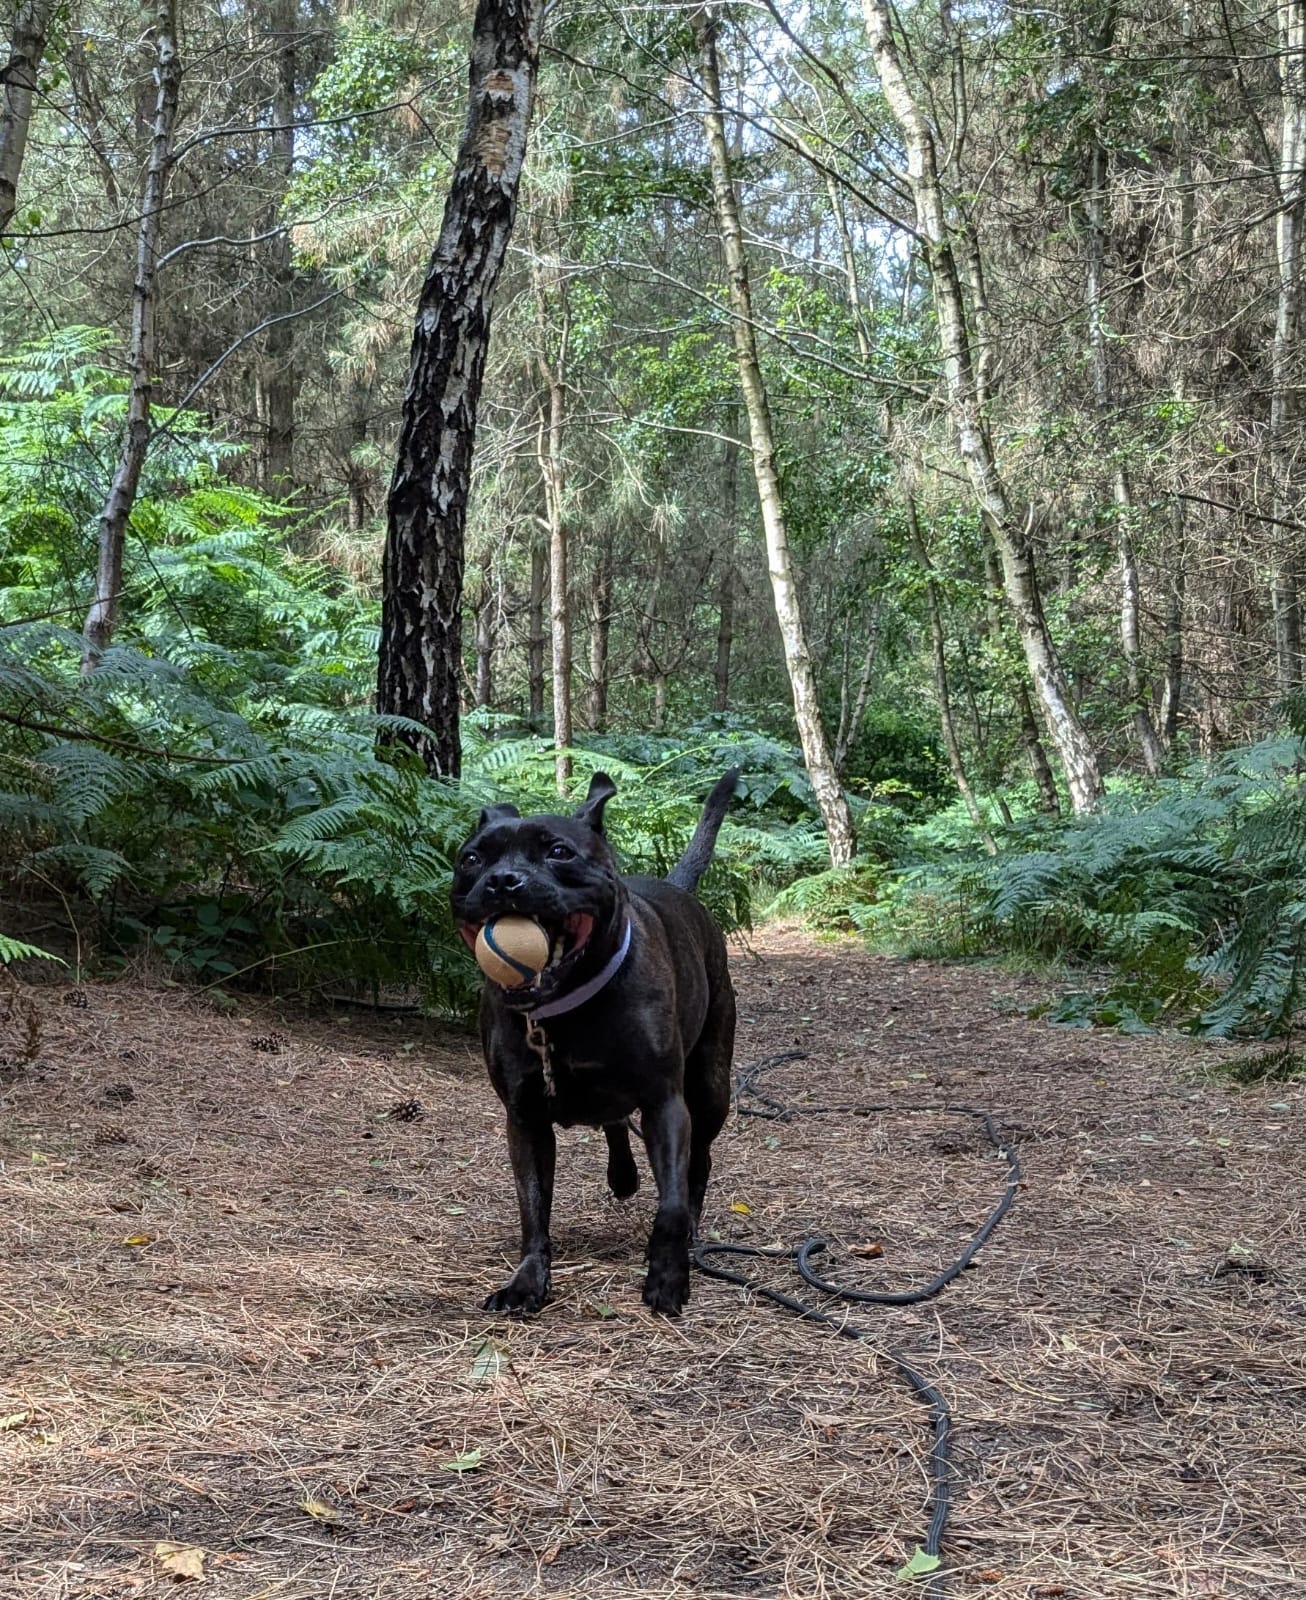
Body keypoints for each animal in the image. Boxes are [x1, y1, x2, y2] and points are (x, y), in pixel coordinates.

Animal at [451, 769, 738, 1316]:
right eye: (472, 859)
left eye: (559, 852)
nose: (503, 881)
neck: (565, 1009)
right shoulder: (525, 1119)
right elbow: (533, 1209)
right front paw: (527, 1281)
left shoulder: (666, 1104)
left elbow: (670, 1202)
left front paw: (667, 1277)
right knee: (614, 1122)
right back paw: (623, 1176)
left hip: (711, 1088)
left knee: (699, 1161)